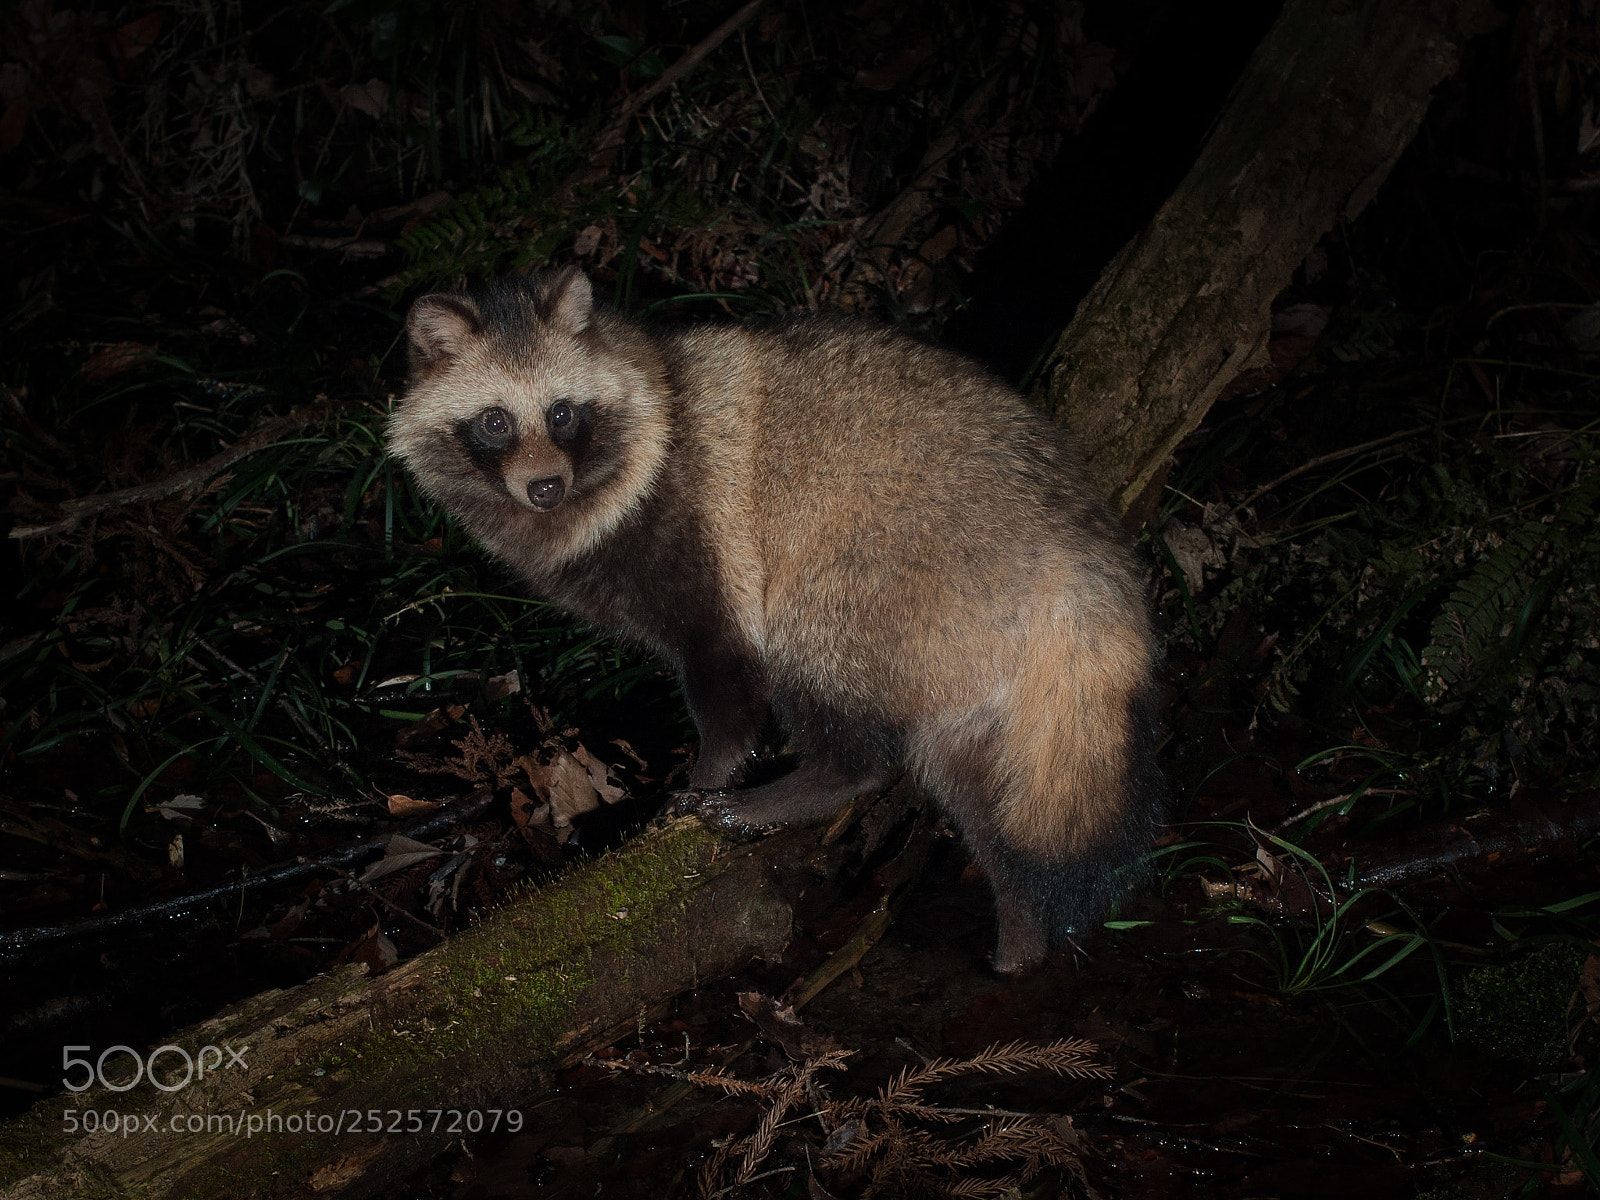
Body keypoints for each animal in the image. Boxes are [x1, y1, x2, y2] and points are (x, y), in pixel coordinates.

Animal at [387, 267, 1163, 973]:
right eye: (494, 420)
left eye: (561, 413)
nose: (545, 487)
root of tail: (1073, 548)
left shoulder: (699, 529)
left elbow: (727, 667)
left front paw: (712, 771)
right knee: (979, 788)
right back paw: (1021, 933)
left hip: (889, 567)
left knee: (827, 666)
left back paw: (814, 784)